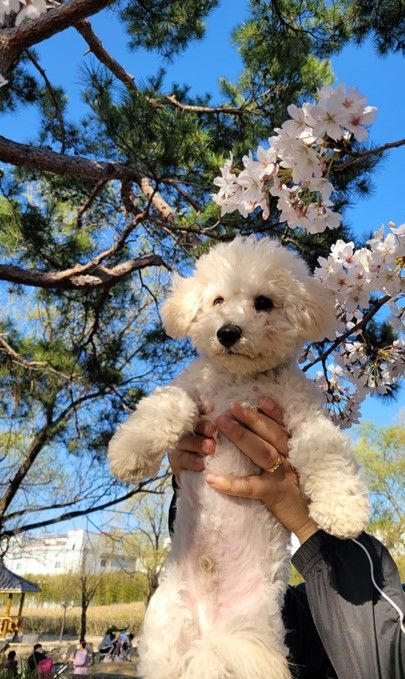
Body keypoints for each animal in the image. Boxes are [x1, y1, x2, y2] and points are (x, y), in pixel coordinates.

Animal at [108, 235, 370, 679]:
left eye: (263, 302)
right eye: (217, 300)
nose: (228, 331)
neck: (240, 381)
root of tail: (209, 636)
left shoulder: (303, 416)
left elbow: (323, 450)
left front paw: (344, 510)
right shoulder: (192, 391)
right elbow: (168, 406)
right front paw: (129, 452)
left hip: (254, 633)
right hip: (165, 636)